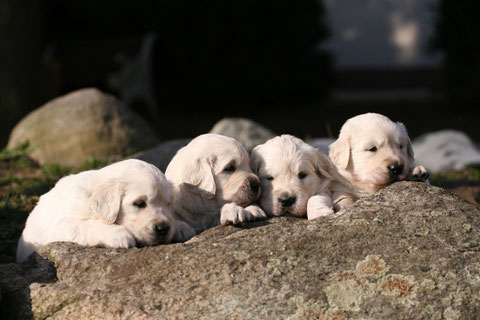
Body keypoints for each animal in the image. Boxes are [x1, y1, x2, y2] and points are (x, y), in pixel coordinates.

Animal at [15, 159, 175, 262]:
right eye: (140, 203)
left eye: (168, 204)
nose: (163, 229)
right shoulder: (56, 227)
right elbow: (82, 225)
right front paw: (118, 234)